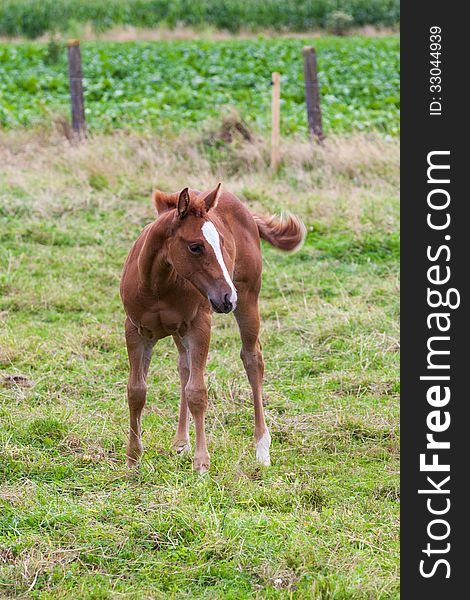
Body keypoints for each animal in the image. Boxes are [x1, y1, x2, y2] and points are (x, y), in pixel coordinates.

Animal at [120, 184, 304, 474]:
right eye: (195, 247)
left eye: (222, 243)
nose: (227, 297)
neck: (158, 286)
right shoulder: (135, 331)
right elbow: (137, 391)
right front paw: (133, 459)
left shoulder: (199, 326)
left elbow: (197, 392)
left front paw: (202, 463)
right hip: (178, 330)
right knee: (183, 366)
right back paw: (180, 442)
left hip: (248, 299)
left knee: (252, 359)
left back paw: (262, 449)